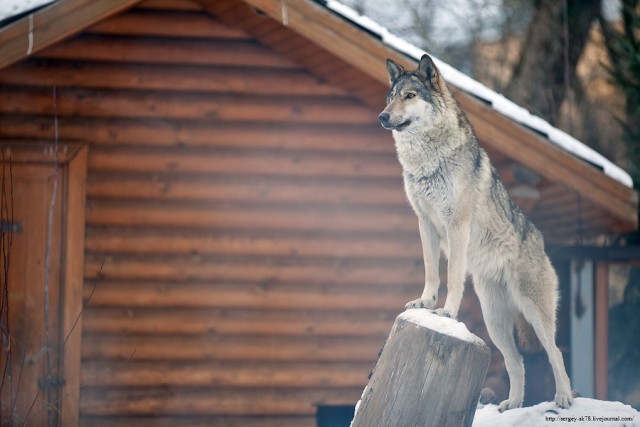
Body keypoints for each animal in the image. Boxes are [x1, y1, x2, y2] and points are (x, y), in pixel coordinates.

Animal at [380, 54, 576, 412]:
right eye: (391, 97)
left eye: (410, 96)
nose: (382, 116)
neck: (427, 163)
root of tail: (541, 241)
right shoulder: (425, 223)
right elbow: (432, 272)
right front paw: (425, 303)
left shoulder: (457, 224)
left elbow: (454, 276)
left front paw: (446, 312)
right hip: (494, 322)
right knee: (516, 361)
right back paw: (513, 405)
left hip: (535, 314)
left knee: (554, 352)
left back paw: (564, 398)